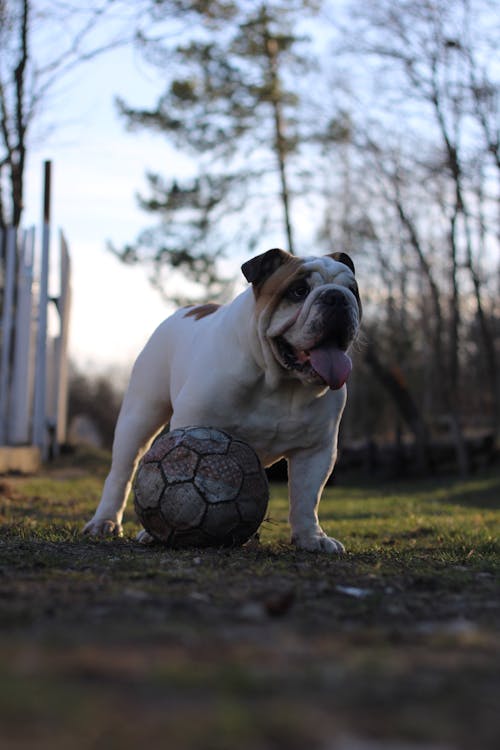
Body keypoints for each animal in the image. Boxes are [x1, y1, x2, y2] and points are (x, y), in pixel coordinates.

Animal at [84, 250, 362, 556]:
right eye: (299, 291)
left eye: (353, 291)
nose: (336, 297)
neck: (278, 380)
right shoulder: (193, 424)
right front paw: (153, 531)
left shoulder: (316, 450)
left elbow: (306, 498)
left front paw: (311, 538)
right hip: (140, 414)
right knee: (122, 471)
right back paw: (105, 522)